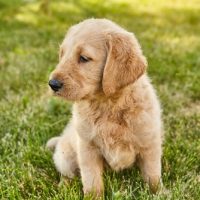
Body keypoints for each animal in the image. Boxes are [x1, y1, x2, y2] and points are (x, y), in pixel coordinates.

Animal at [46, 18, 162, 195]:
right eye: (62, 54)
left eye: (84, 58)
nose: (52, 84)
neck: (108, 104)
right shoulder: (87, 147)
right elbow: (91, 181)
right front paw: (93, 196)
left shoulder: (150, 144)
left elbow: (153, 175)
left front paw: (159, 193)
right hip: (65, 156)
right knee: (66, 173)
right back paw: (63, 188)